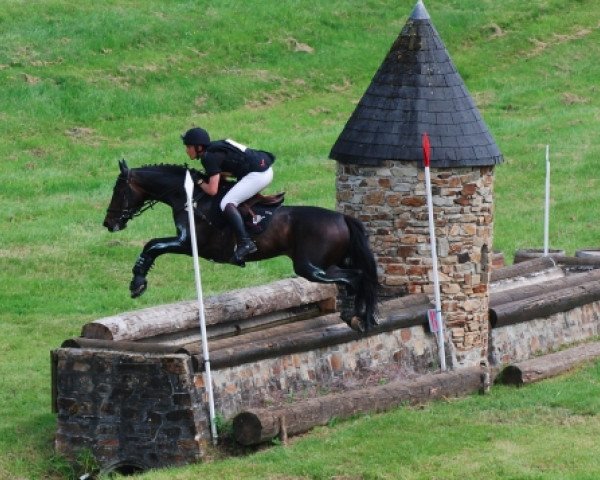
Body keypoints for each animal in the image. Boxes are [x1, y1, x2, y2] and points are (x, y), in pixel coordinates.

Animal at [101, 159, 378, 332]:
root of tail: (342, 217)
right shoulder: (186, 243)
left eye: (118, 190)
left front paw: (137, 283)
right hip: (329, 264)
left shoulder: (188, 243)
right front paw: (138, 283)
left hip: (309, 267)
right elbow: (153, 245)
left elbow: (153, 246)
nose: (109, 223)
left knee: (354, 278)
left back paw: (355, 317)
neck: (190, 197)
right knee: (359, 276)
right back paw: (364, 317)